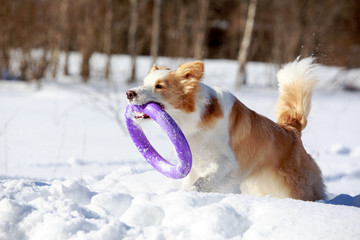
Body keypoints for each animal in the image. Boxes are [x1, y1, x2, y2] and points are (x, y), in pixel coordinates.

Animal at [126, 57, 326, 201]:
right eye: (143, 82)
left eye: (159, 86)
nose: (129, 93)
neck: (196, 118)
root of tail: (291, 130)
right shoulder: (194, 164)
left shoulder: (226, 162)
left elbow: (203, 181)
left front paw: (190, 192)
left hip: (294, 185)